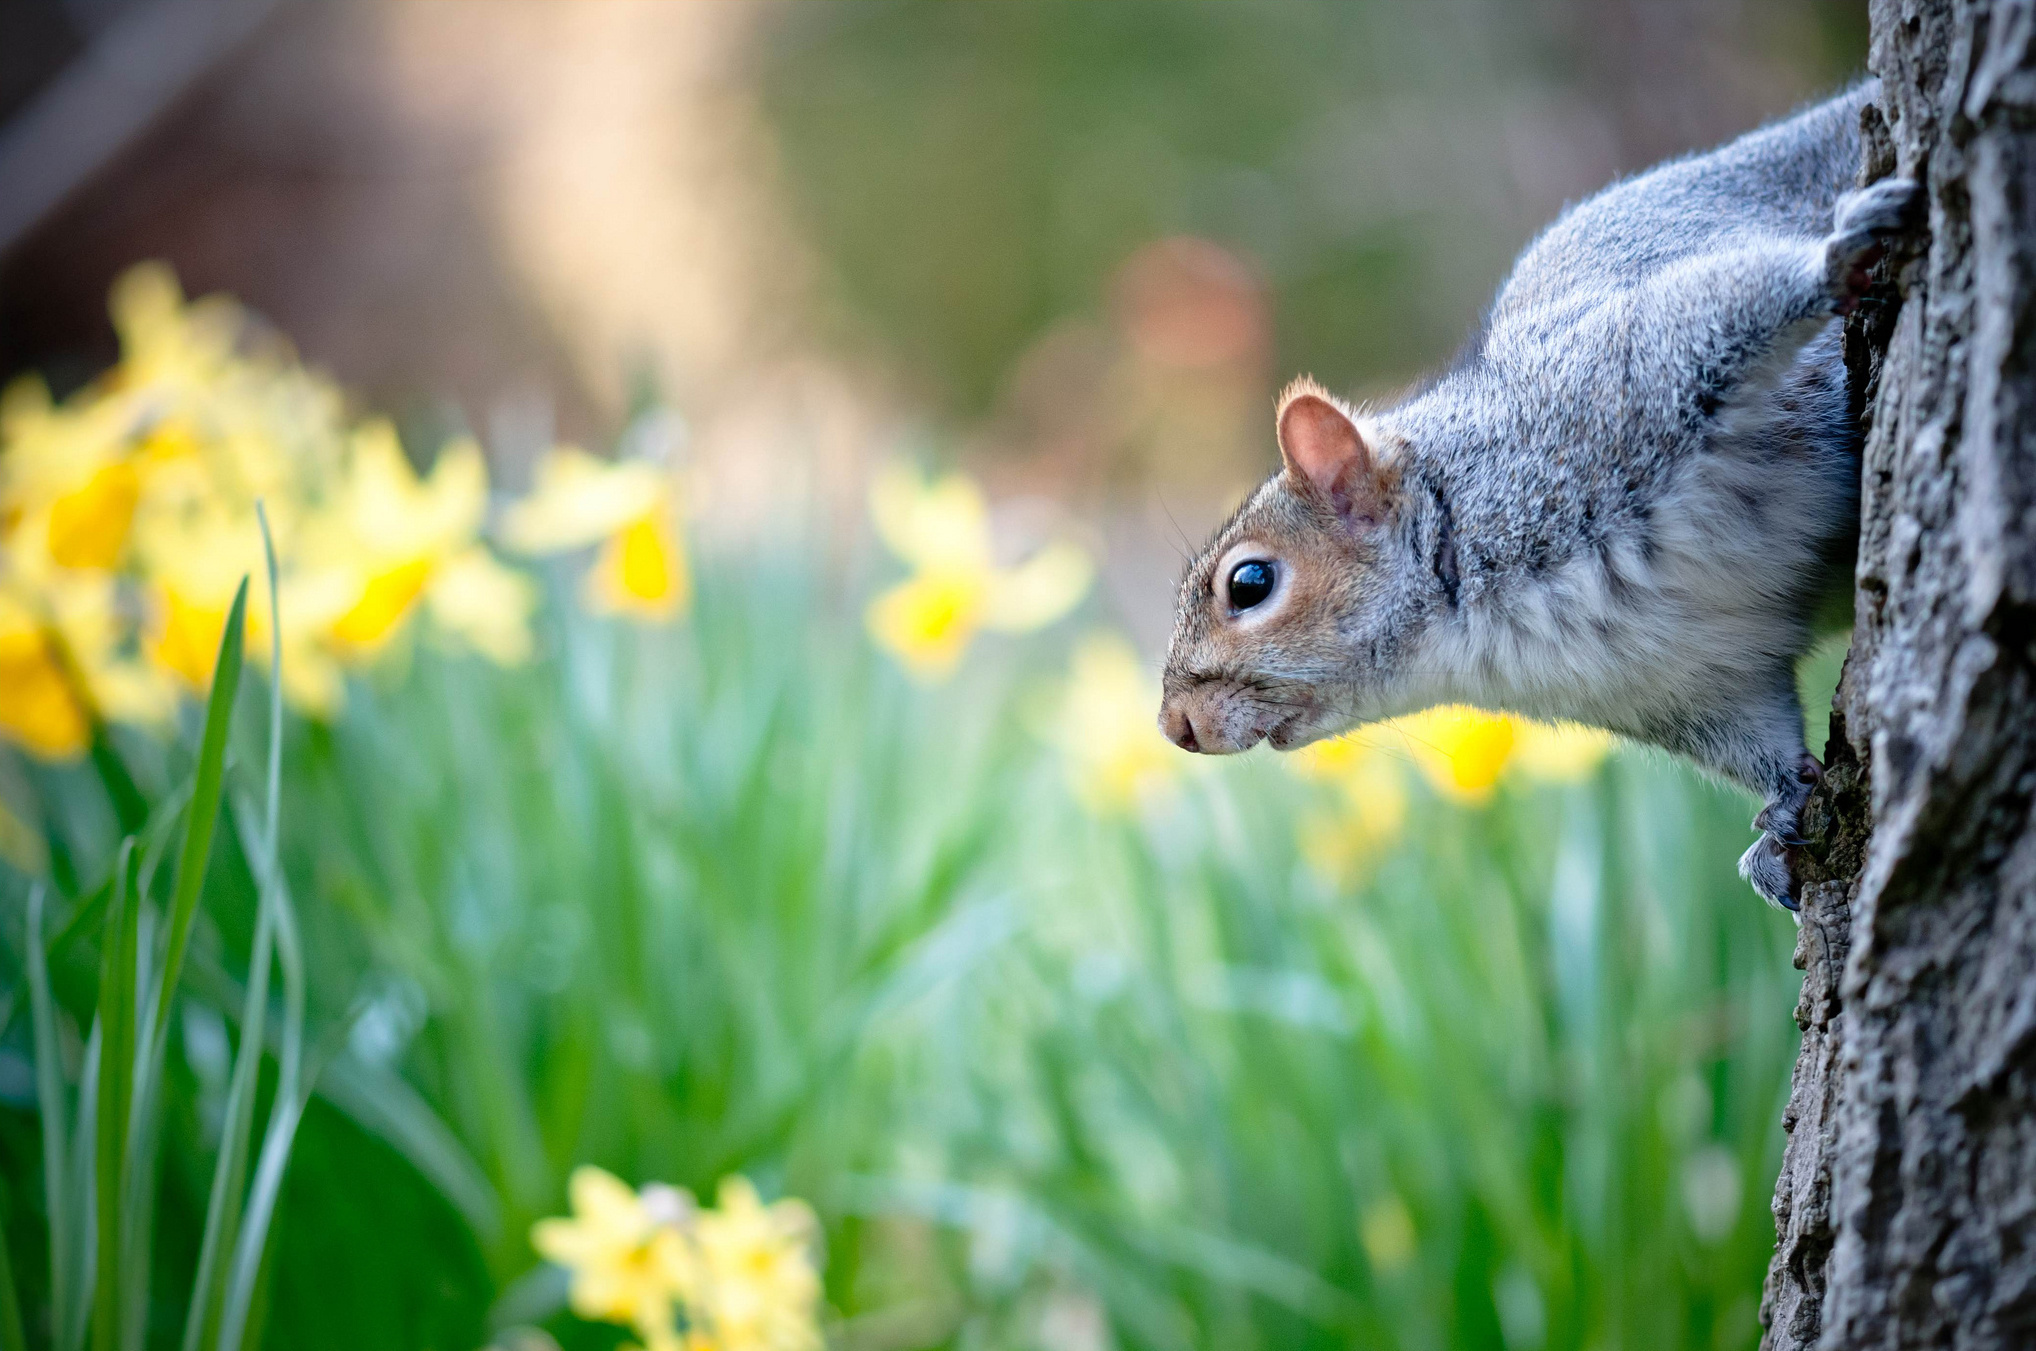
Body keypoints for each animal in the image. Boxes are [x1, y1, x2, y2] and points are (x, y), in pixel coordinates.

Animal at [1164, 81, 1921, 907]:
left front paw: (1837, 254)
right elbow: (1759, 737)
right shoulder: (1687, 682)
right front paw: (1780, 820)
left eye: (1249, 582)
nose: (1176, 727)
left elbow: (1724, 303)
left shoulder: (1619, 389)